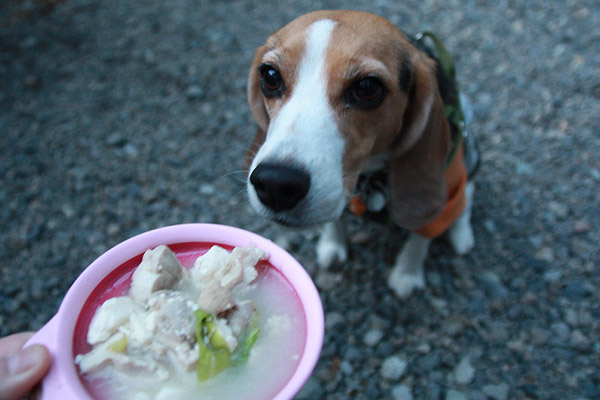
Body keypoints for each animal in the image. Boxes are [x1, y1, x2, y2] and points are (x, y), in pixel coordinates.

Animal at [244, 9, 478, 298]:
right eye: (271, 76)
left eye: (367, 87)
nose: (275, 183)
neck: (368, 178)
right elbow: (335, 221)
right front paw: (332, 245)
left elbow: (419, 238)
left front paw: (407, 274)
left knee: (467, 196)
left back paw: (461, 234)